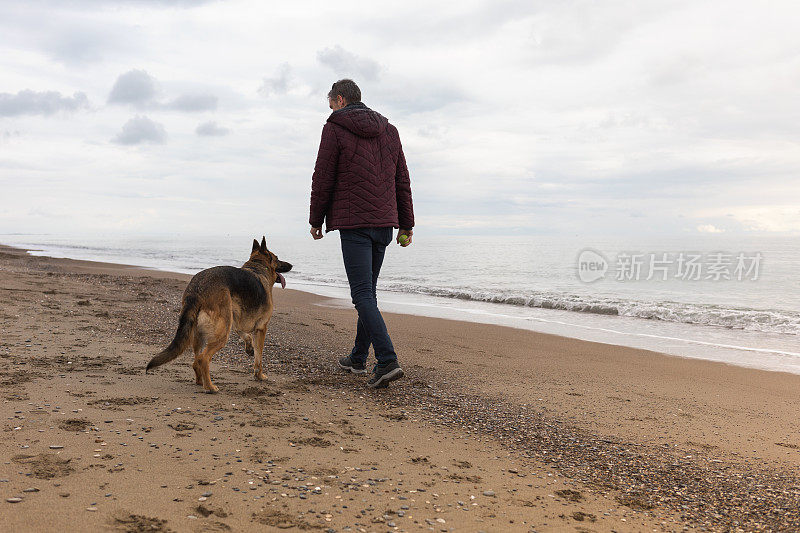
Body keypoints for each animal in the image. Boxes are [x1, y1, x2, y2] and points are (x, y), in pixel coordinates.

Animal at [145, 237, 292, 390]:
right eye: (277, 258)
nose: (291, 265)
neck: (258, 266)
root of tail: (196, 289)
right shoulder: (261, 328)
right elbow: (259, 355)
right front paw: (259, 375)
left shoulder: (236, 321)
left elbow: (245, 335)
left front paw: (249, 348)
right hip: (222, 334)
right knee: (203, 358)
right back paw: (210, 387)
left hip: (201, 333)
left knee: (196, 361)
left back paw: (201, 382)